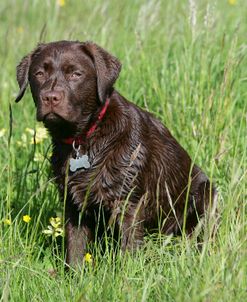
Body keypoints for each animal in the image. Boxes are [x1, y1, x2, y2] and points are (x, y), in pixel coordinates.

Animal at [15, 40, 216, 266]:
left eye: (76, 74)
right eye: (39, 73)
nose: (50, 97)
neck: (85, 137)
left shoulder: (128, 203)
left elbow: (128, 251)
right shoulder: (73, 204)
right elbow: (75, 249)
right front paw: (74, 274)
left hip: (206, 195)